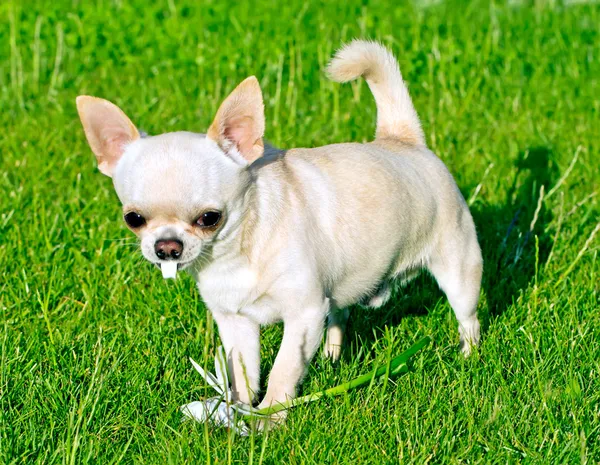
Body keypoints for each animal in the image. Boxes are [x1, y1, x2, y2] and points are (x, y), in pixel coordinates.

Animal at [76, 40, 482, 414]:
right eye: (134, 219)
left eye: (209, 218)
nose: (167, 247)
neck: (238, 250)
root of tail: (401, 139)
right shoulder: (236, 321)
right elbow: (242, 372)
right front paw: (236, 410)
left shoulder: (303, 315)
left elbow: (284, 370)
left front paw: (269, 417)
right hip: (342, 285)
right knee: (340, 314)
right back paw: (332, 356)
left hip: (459, 268)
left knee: (467, 316)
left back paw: (470, 356)